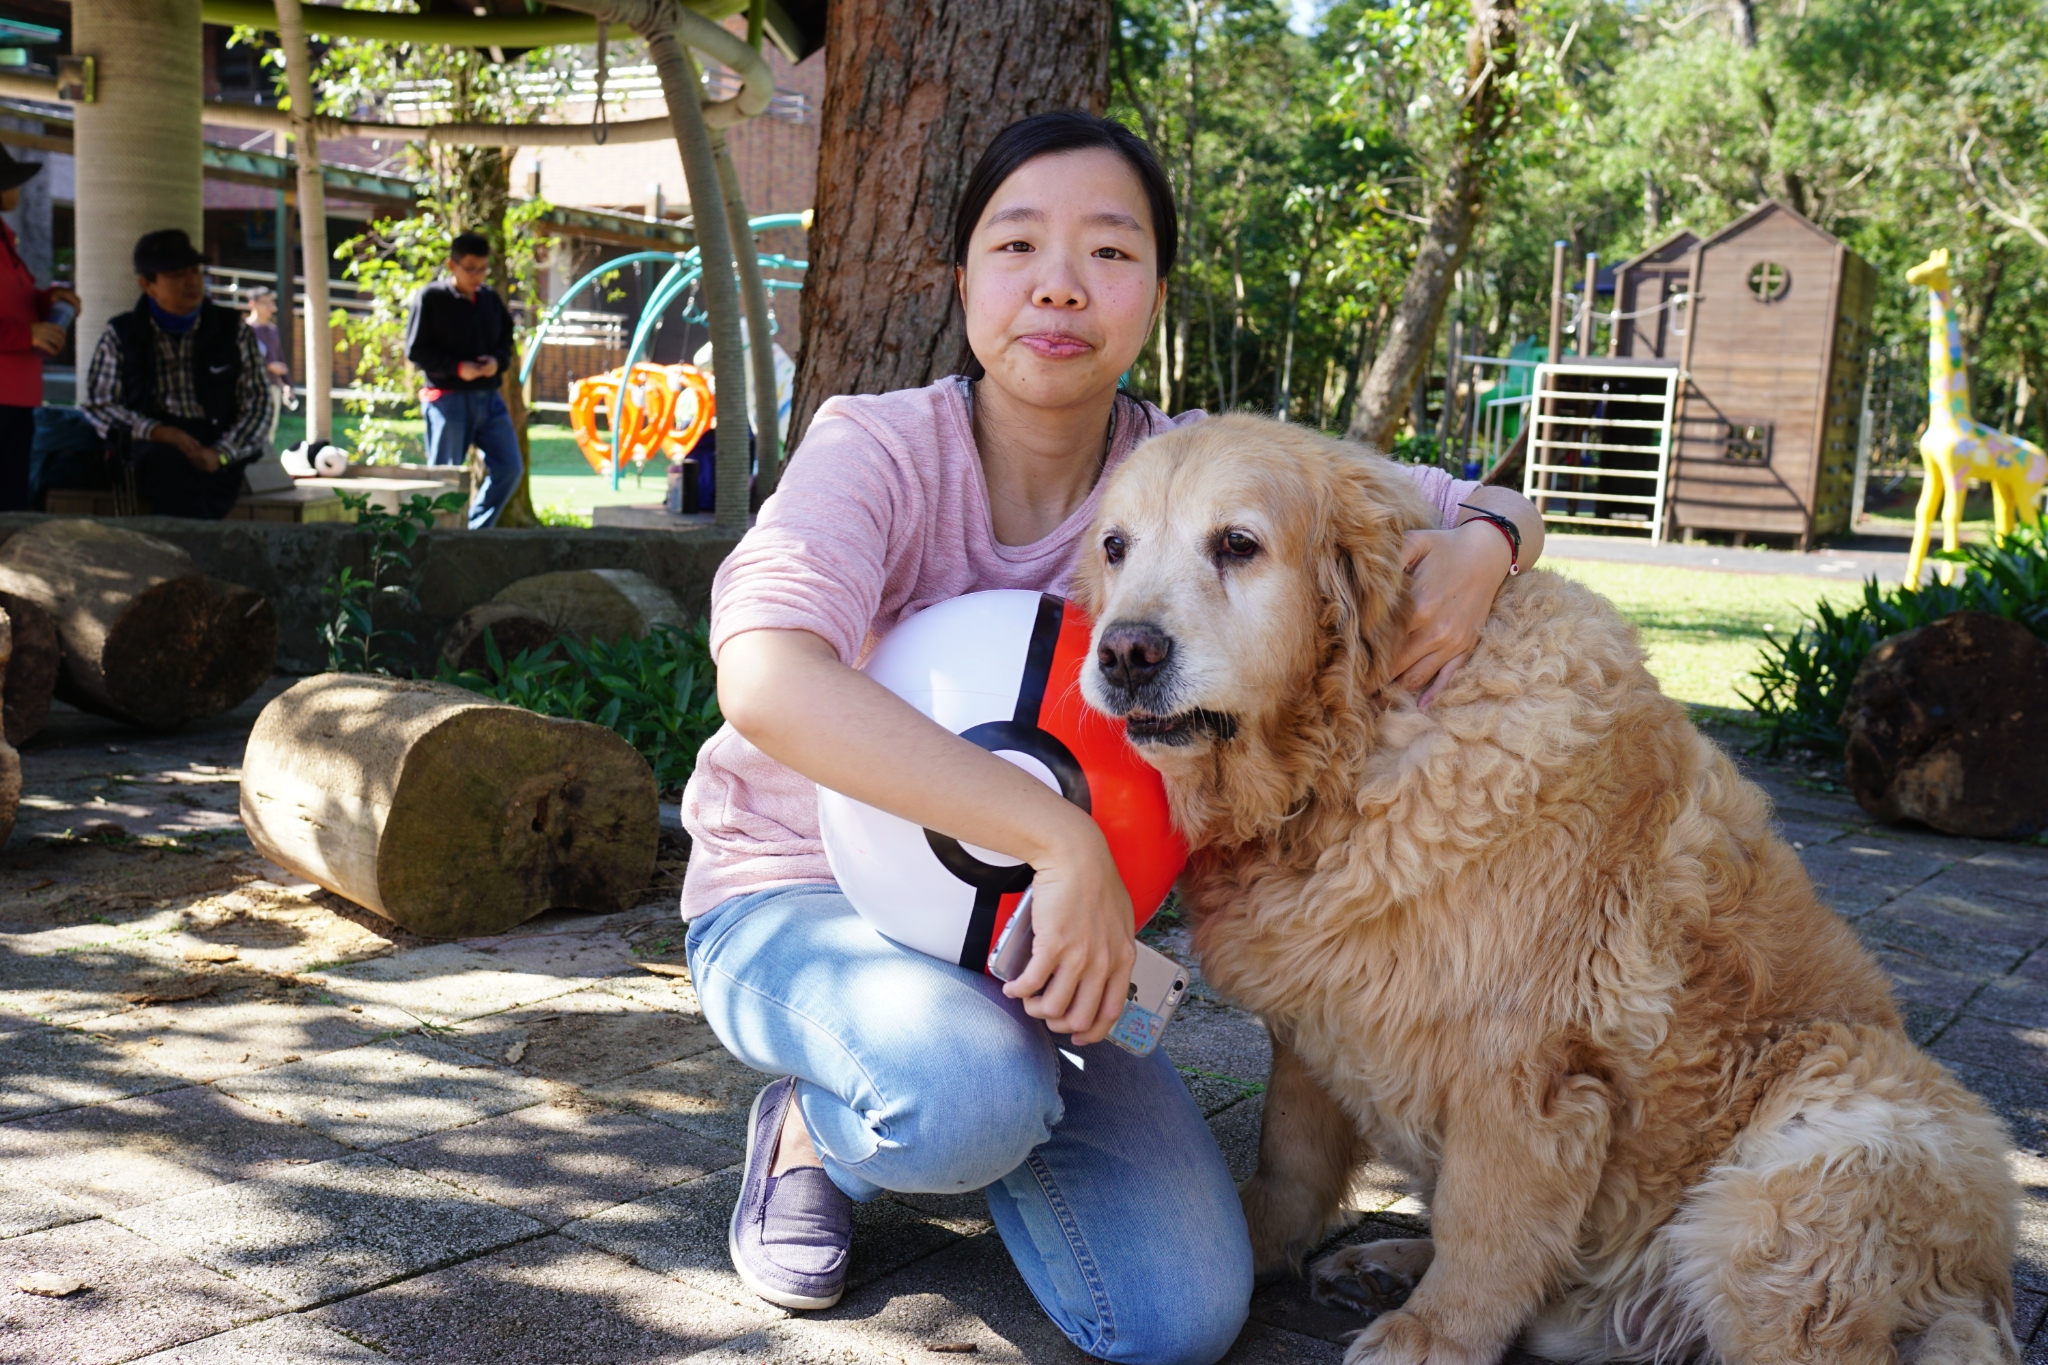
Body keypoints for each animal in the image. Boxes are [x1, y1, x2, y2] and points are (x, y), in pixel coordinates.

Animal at [1073, 414, 2019, 1365]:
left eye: (1238, 543)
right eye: (1116, 546)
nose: (1124, 652)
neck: (1348, 758)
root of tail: (1985, 1293)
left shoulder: (1524, 1066)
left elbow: (1486, 1223)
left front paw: (1437, 1332)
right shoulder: (1313, 1021)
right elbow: (1292, 1155)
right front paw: (1261, 1236)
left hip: (1812, 1156)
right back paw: (1384, 1259)